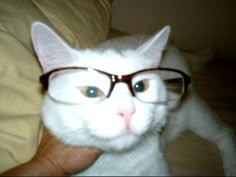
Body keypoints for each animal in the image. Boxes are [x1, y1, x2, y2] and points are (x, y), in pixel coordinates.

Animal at [30, 21, 236, 176]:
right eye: (91, 92)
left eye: (140, 87)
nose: (127, 111)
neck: (118, 164)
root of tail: (174, 48)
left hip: (194, 111)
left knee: (223, 133)